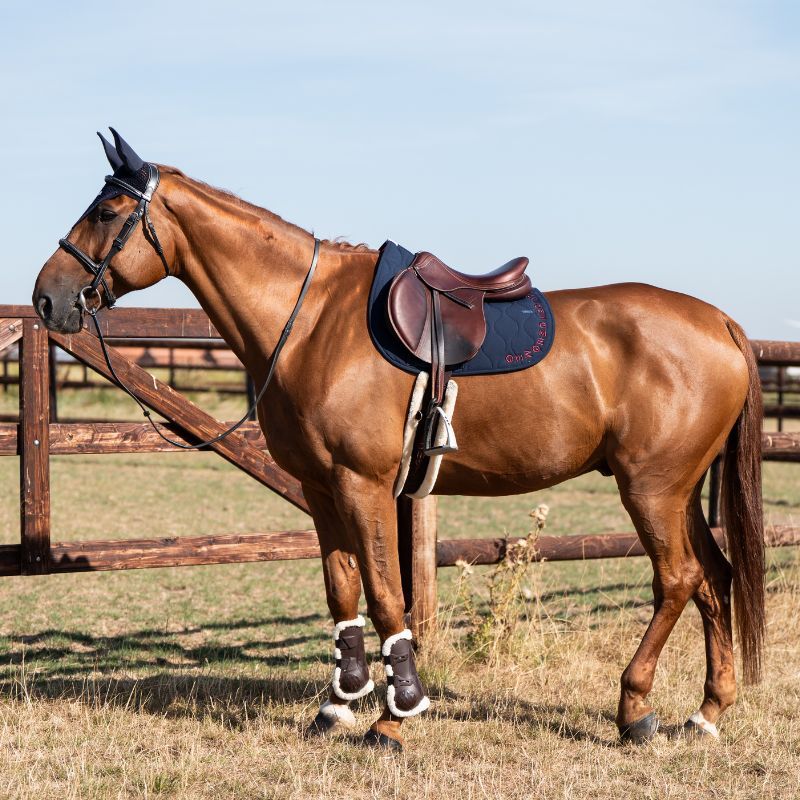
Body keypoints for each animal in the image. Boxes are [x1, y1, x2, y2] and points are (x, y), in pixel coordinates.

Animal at [33, 130, 764, 750]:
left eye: (107, 211)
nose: (46, 298)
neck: (311, 320)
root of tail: (720, 322)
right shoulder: (322, 489)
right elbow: (342, 591)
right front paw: (338, 705)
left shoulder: (365, 484)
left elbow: (387, 596)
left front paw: (397, 714)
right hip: (679, 492)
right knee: (713, 577)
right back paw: (706, 712)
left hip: (651, 489)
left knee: (678, 578)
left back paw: (635, 708)